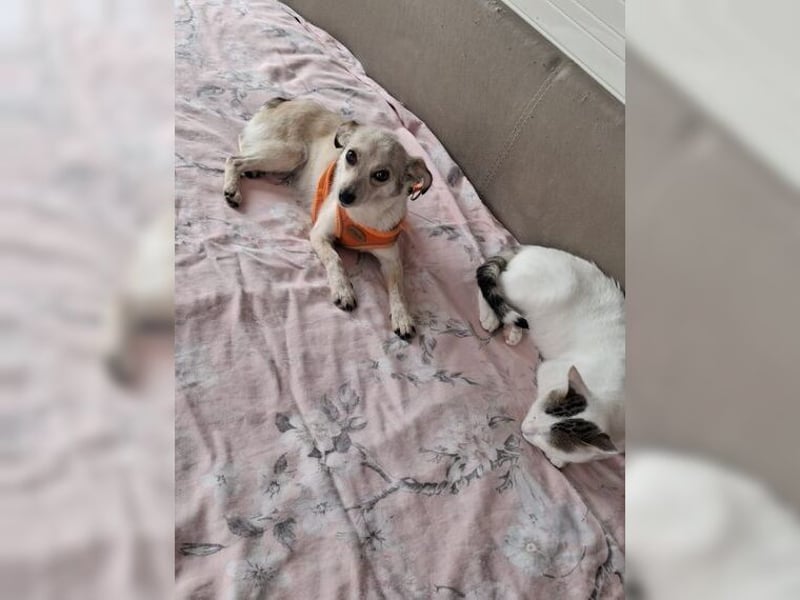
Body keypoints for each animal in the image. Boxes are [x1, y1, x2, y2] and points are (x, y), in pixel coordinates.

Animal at [223, 98, 432, 339]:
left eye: (382, 175)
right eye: (350, 156)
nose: (343, 195)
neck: (364, 215)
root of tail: (285, 100)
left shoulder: (392, 260)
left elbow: (399, 288)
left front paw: (402, 315)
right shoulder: (319, 235)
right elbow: (336, 259)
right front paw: (343, 289)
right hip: (289, 153)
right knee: (235, 158)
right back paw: (232, 188)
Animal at [476, 245, 625, 467]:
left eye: (546, 439)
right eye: (537, 416)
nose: (525, 428)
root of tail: (530, 247)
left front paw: (559, 458)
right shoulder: (550, 370)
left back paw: (513, 331)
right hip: (541, 289)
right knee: (492, 280)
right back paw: (490, 317)